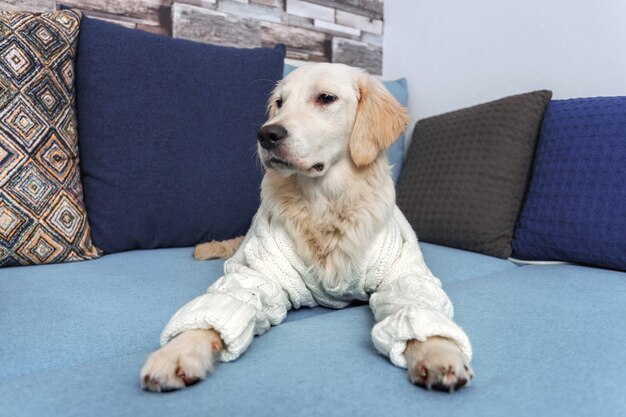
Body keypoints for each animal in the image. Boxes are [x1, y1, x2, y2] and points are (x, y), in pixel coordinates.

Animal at [140, 61, 472, 390]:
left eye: (325, 98)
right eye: (279, 103)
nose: (266, 135)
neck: (322, 202)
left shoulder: (403, 274)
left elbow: (415, 307)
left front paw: (437, 351)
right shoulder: (256, 275)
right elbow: (223, 306)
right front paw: (178, 351)